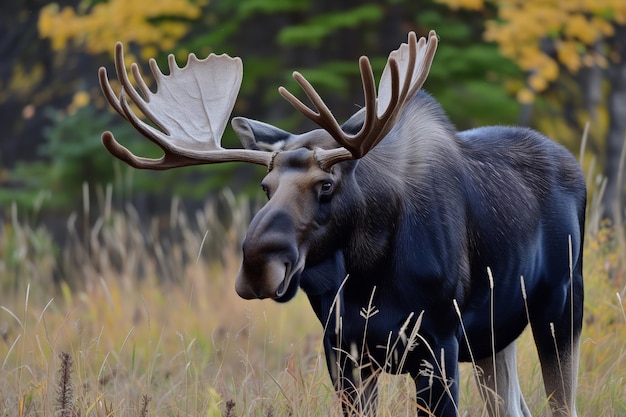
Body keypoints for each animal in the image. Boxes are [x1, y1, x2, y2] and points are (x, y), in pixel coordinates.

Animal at [97, 30, 580, 414]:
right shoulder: (343, 351)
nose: (256, 266)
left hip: (560, 310)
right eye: (265, 186)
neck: (370, 271)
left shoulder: (438, 345)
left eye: (326, 184)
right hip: (494, 338)